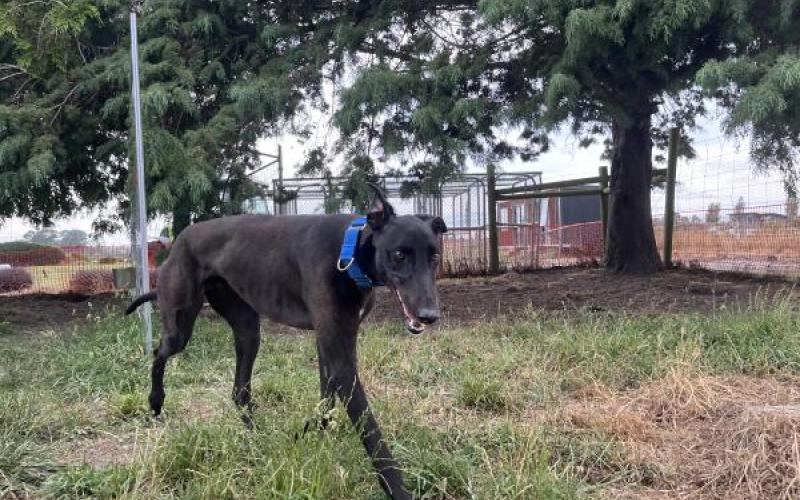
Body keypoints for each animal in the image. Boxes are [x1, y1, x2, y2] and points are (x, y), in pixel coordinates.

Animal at [128, 185, 446, 500]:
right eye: (399, 254)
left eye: (434, 257)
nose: (430, 315)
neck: (349, 254)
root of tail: (181, 237)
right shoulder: (339, 355)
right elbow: (370, 427)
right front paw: (398, 489)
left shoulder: (332, 341)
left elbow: (326, 396)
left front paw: (310, 438)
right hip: (180, 326)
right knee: (159, 351)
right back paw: (155, 402)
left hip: (248, 330)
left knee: (239, 391)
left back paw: (257, 438)